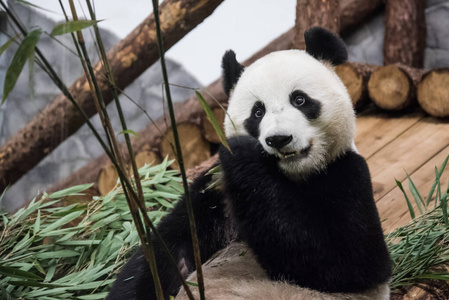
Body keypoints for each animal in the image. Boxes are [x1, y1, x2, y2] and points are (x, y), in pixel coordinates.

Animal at [107, 26, 390, 300]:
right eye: (258, 112)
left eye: (299, 99)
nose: (279, 139)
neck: (291, 175)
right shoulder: (215, 193)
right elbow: (168, 251)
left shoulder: (346, 174)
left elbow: (346, 261)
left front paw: (244, 154)